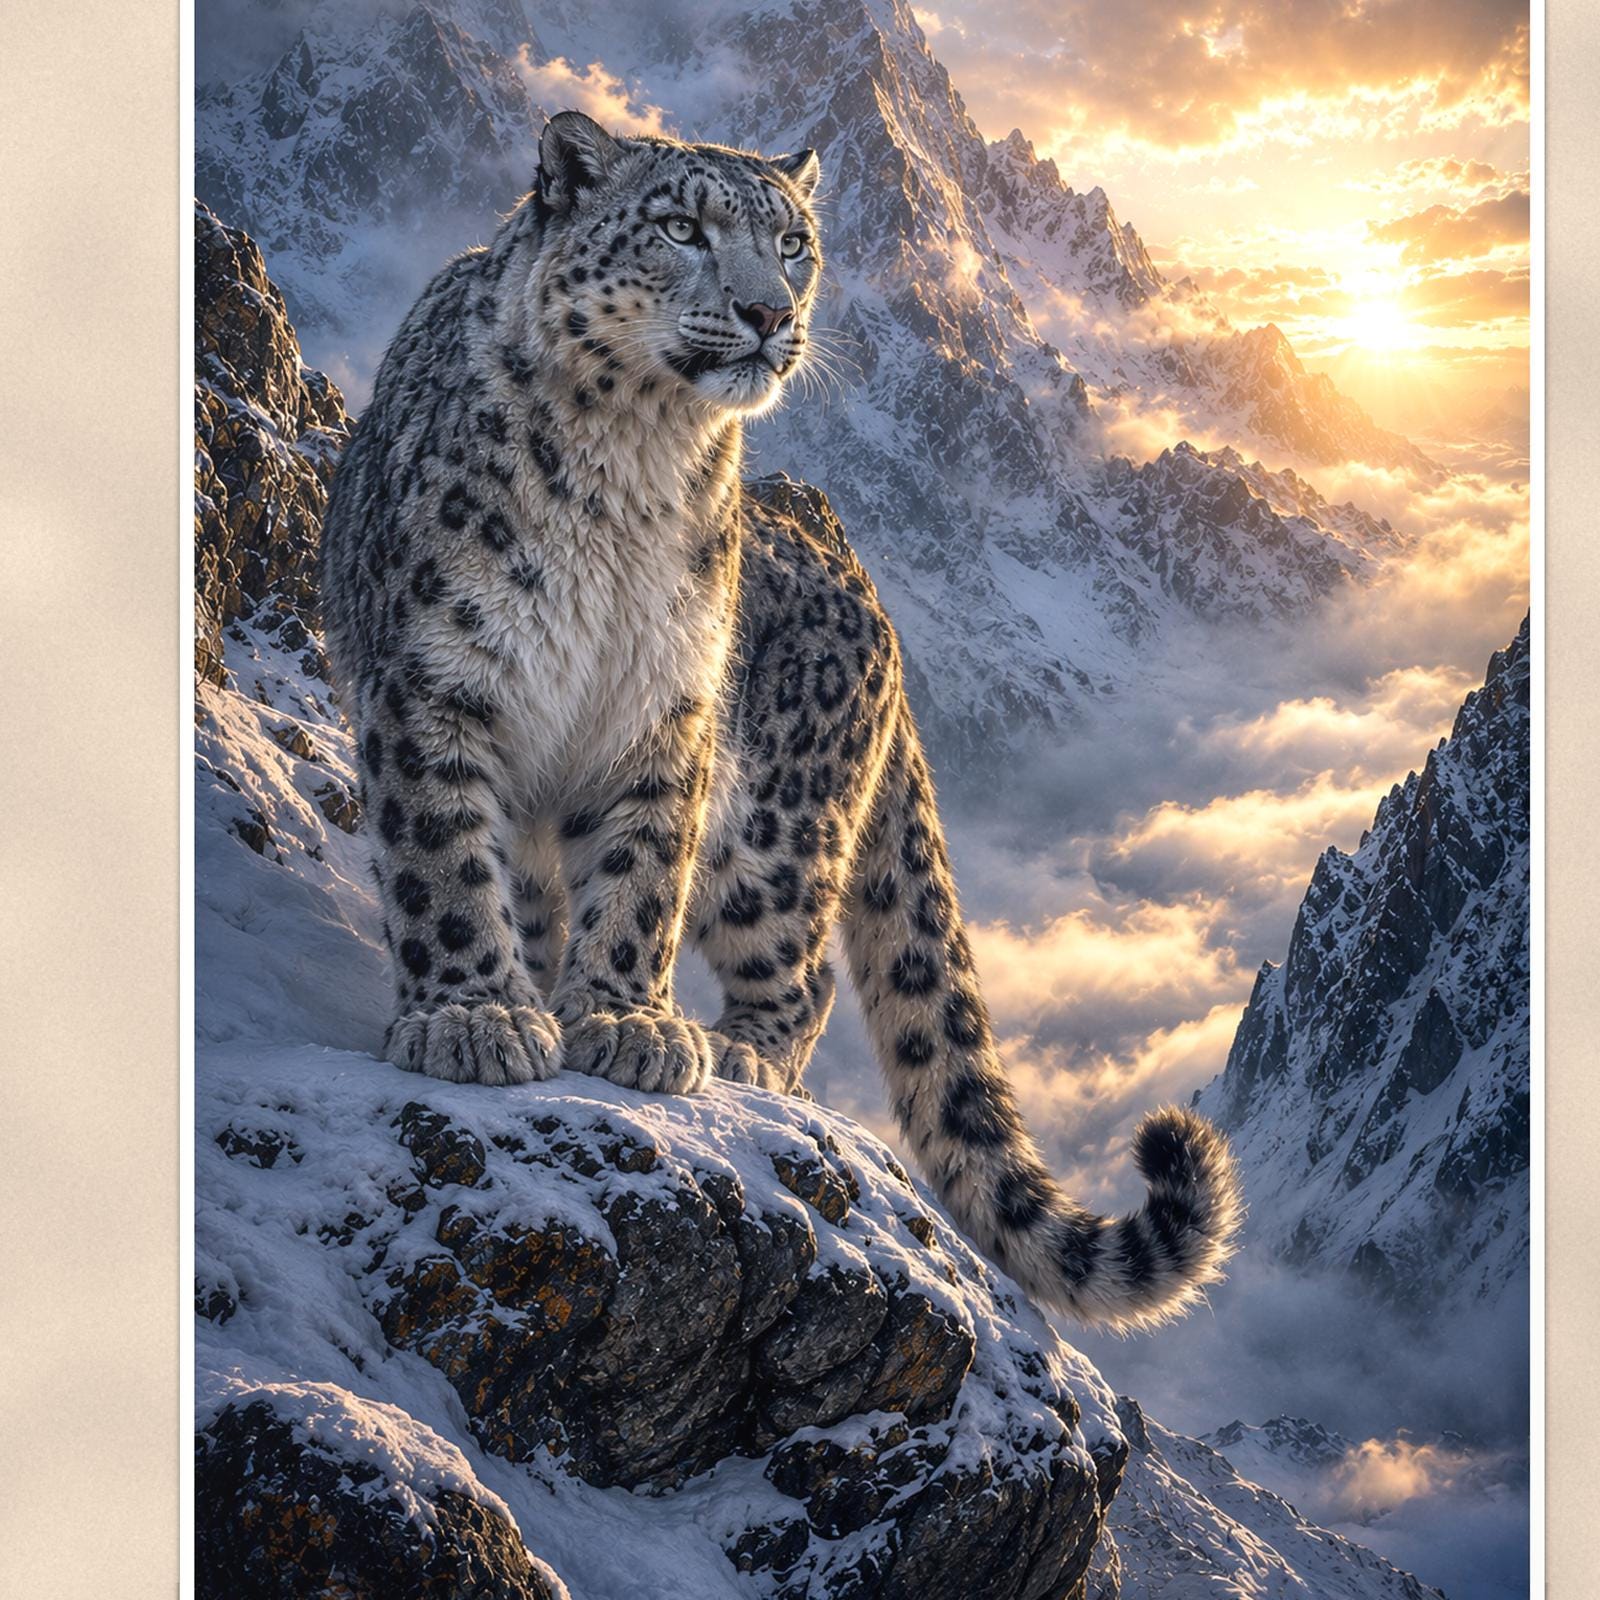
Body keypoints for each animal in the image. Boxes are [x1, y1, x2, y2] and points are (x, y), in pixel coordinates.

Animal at [319, 111, 1241, 1328]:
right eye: (681, 228)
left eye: (793, 243)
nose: (768, 312)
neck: (632, 467)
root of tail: (877, 612)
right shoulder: (436, 678)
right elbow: (443, 859)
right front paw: (477, 1015)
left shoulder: (665, 710)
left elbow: (640, 878)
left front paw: (624, 1023)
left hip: (774, 839)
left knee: (803, 973)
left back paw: (740, 1052)